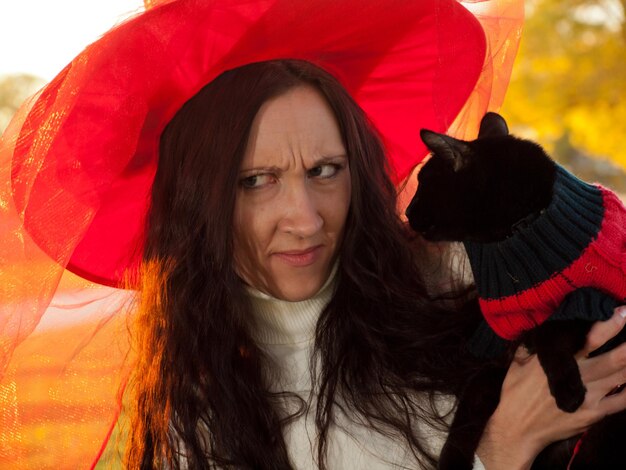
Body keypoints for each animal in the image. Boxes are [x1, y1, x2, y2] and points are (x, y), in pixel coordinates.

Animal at [402, 113, 624, 470]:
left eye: (423, 183)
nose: (407, 212)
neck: (518, 230)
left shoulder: (596, 301)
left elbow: (551, 329)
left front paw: (567, 390)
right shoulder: (498, 350)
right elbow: (468, 413)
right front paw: (451, 461)